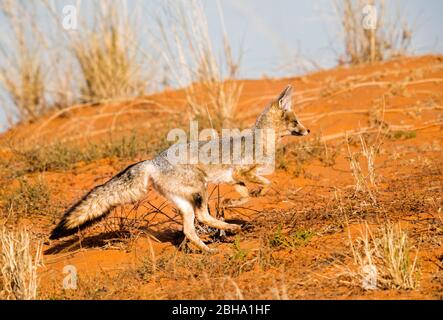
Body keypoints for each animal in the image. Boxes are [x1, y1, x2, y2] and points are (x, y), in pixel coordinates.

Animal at [49, 85, 308, 252]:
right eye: (296, 122)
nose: (308, 131)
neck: (261, 140)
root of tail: (152, 161)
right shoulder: (241, 172)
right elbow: (267, 183)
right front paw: (258, 193)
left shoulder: (235, 178)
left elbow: (244, 195)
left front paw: (233, 203)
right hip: (200, 189)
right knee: (202, 216)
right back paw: (228, 229)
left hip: (185, 203)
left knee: (189, 230)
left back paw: (210, 248)